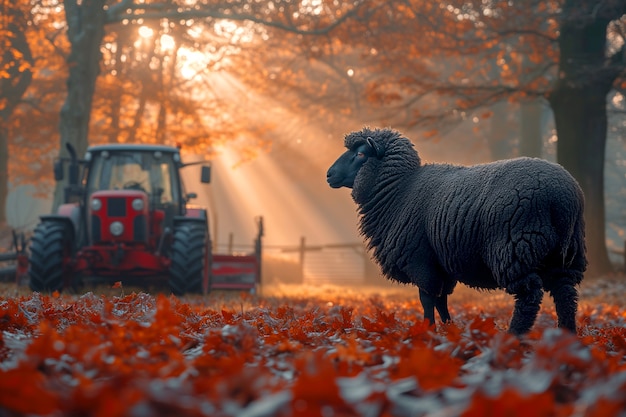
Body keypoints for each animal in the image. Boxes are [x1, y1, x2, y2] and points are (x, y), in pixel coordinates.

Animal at [326, 127, 584, 334]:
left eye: (361, 154)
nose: (329, 174)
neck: (400, 190)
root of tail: (563, 196)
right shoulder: (440, 262)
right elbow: (442, 300)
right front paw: (450, 330)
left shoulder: (420, 260)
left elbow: (427, 299)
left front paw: (428, 331)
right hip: (565, 253)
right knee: (565, 294)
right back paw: (567, 336)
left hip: (516, 246)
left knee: (529, 296)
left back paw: (515, 336)